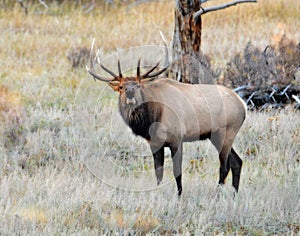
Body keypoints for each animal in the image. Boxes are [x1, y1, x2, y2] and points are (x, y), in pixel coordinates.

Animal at [86, 40, 246, 195]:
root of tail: (243, 105)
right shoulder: (155, 143)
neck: (153, 118)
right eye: (121, 87)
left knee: (224, 166)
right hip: (217, 136)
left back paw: (217, 195)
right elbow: (158, 172)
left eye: (138, 85)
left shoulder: (177, 139)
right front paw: (157, 193)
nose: (130, 93)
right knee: (237, 161)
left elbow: (177, 172)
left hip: (226, 132)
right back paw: (234, 194)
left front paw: (179, 196)